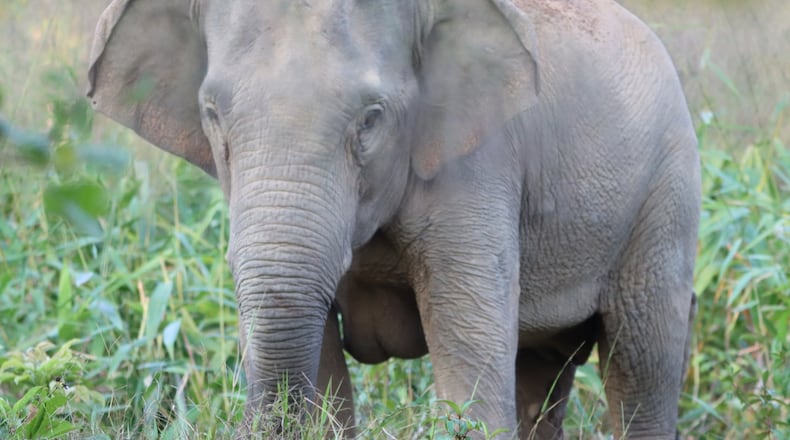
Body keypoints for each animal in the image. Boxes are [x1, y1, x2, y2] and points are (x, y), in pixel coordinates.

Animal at [87, 0, 701, 438]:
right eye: (212, 113)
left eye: (371, 118)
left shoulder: (479, 167)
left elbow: (470, 366)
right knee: (541, 374)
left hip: (665, 200)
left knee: (642, 365)